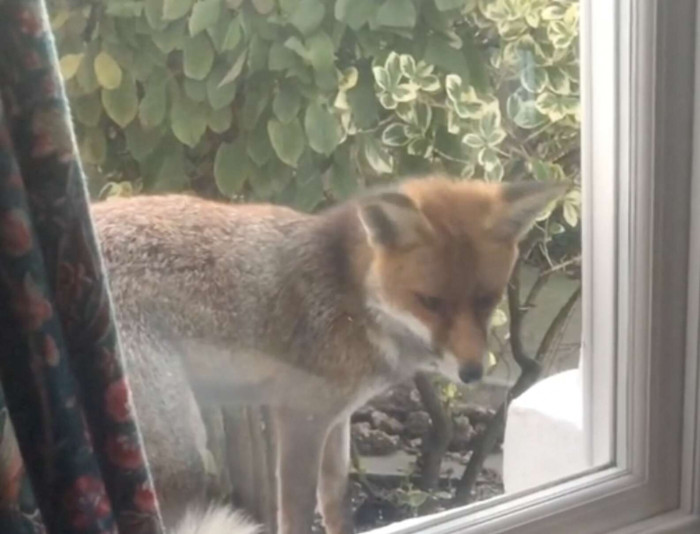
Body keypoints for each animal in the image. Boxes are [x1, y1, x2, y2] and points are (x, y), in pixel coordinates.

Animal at [91, 177, 564, 534]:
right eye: (430, 303)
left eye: (487, 301)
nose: (472, 372)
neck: (354, 299)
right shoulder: (299, 415)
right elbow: (298, 511)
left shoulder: (338, 417)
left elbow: (336, 501)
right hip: (178, 452)